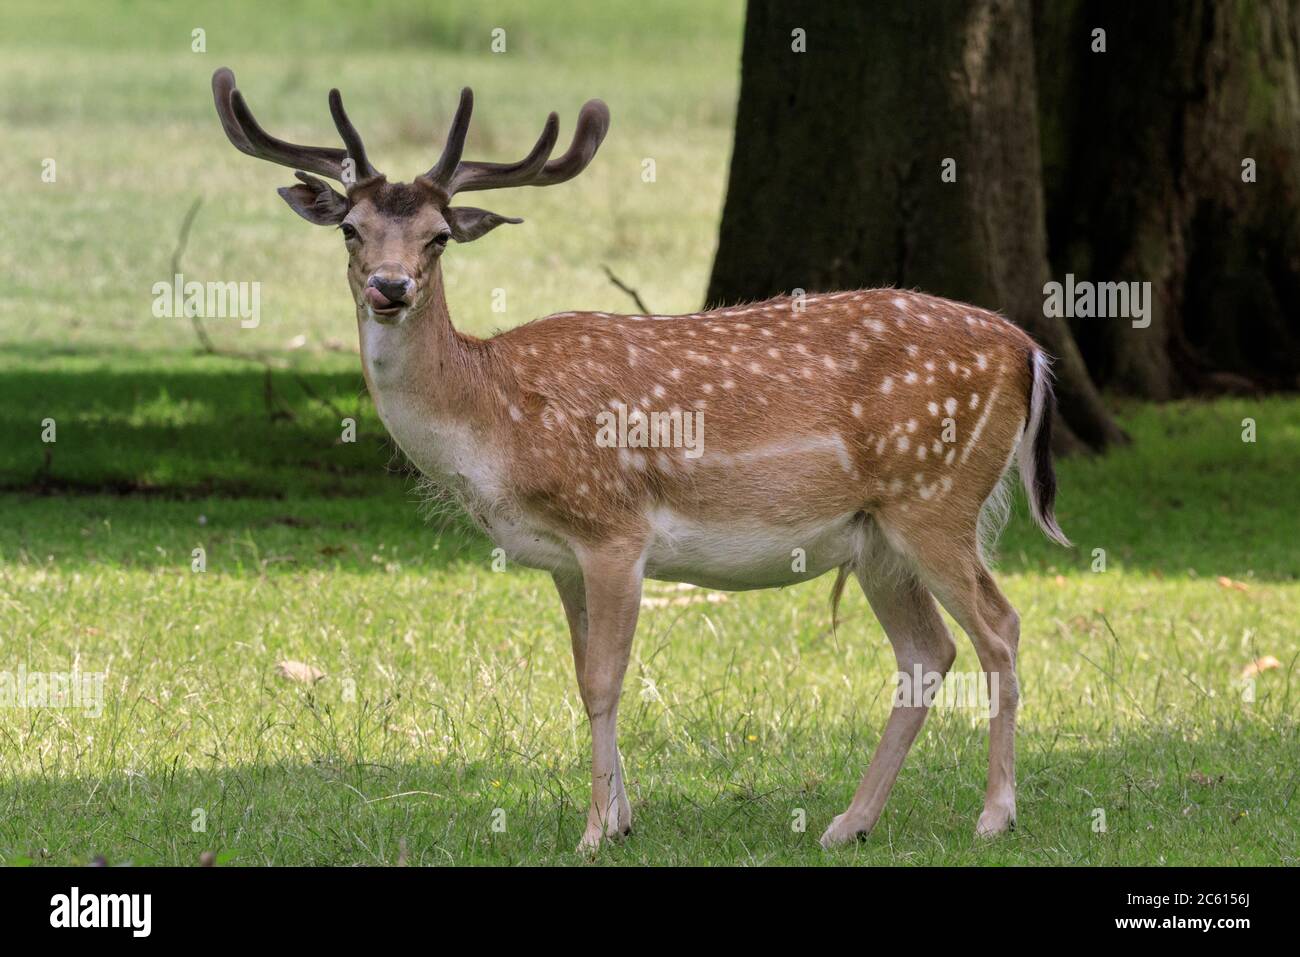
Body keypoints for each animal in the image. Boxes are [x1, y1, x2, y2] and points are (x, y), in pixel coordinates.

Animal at [210, 69, 1066, 852]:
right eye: (350, 229)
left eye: (438, 235)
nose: (390, 287)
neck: (496, 419)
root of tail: (1029, 352)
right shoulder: (561, 556)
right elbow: (580, 669)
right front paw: (622, 817)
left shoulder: (613, 527)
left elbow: (602, 678)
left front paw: (594, 830)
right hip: (878, 536)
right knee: (928, 652)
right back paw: (847, 823)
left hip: (938, 498)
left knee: (1000, 626)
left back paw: (994, 815)